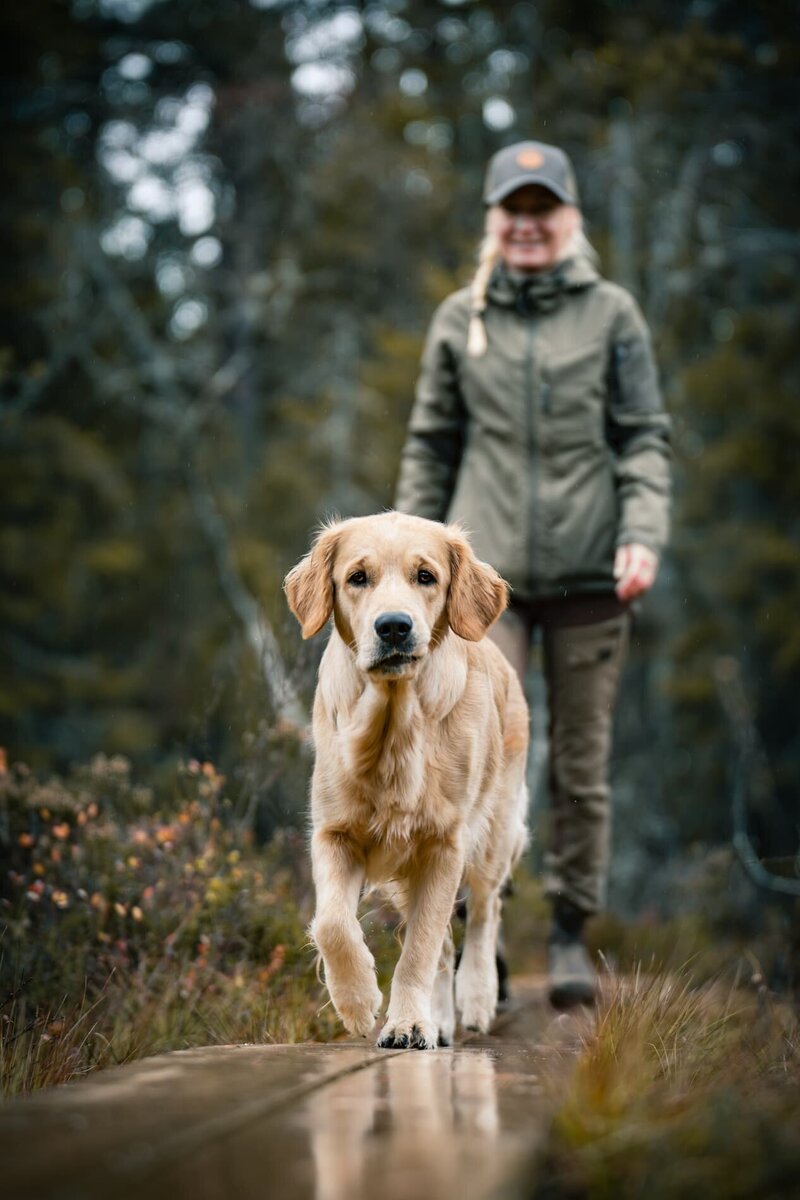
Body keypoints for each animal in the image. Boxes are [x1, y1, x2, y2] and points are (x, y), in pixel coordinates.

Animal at [284, 516, 527, 1051]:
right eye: (357, 577)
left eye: (426, 576)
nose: (394, 626)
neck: (392, 729)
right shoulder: (335, 833)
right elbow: (332, 923)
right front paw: (358, 1003)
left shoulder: (443, 845)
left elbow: (420, 946)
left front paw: (408, 1024)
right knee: (446, 942)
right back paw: (439, 1019)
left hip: (494, 835)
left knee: (485, 912)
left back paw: (475, 998)